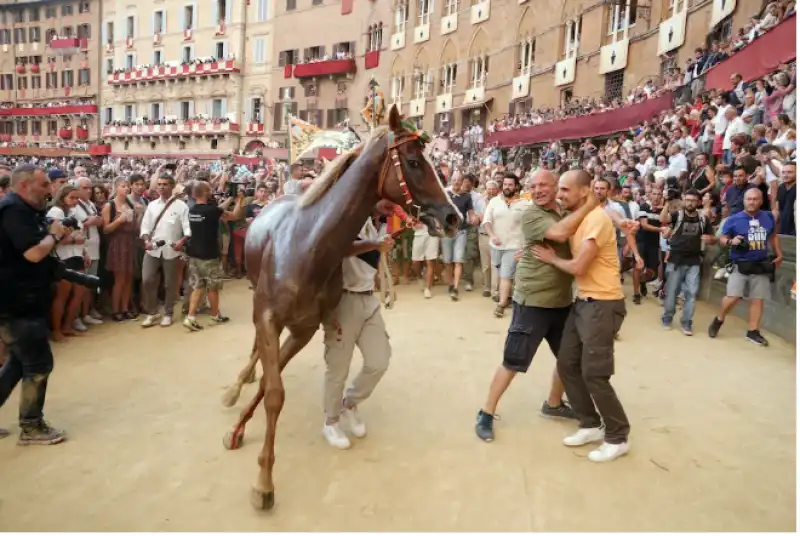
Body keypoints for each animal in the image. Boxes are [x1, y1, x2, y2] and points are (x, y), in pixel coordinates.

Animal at [220, 105, 456, 510]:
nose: (454, 216)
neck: (307, 247)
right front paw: (263, 481)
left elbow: (271, 386)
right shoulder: (268, 317)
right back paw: (237, 385)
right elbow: (275, 391)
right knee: (254, 348)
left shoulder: (303, 328)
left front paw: (244, 433)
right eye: (413, 161)